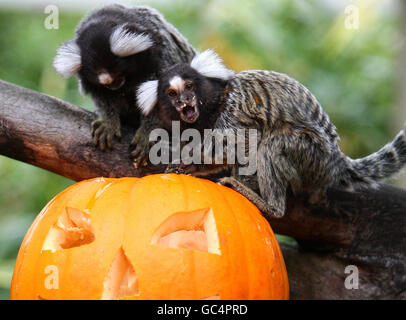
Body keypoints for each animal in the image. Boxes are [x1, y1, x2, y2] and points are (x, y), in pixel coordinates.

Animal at [53, 4, 196, 155]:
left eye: (116, 72)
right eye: (103, 81)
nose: (110, 83)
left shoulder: (159, 55)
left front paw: (148, 132)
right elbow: (101, 98)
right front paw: (108, 122)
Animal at [135, 50, 406, 219]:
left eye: (189, 87)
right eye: (171, 93)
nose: (184, 101)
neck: (214, 104)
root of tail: (336, 160)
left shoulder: (234, 111)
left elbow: (238, 146)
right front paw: (186, 166)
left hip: (312, 156)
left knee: (272, 145)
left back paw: (268, 205)